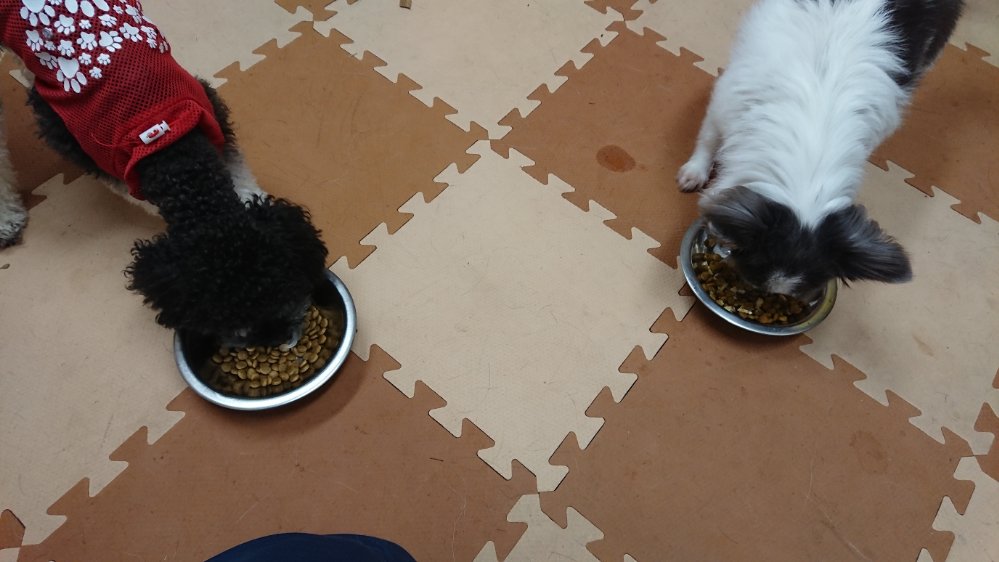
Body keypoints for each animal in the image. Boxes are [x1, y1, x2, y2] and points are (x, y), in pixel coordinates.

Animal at [0, 0, 329, 347]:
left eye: (285, 296)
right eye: (235, 325)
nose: (279, 339)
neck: (164, 139)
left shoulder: (211, 113)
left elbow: (240, 174)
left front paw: (252, 198)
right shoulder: (89, 151)